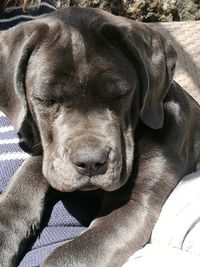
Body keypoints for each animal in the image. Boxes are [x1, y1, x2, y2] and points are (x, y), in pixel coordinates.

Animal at [0, 6, 199, 267]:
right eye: (46, 100)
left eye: (119, 95)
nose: (90, 162)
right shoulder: (48, 156)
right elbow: (19, 191)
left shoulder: (136, 203)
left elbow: (73, 254)